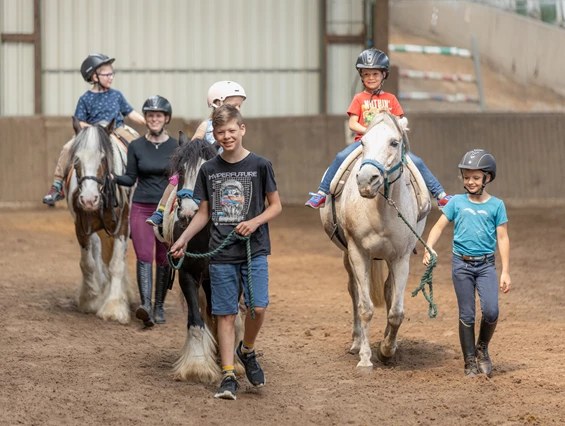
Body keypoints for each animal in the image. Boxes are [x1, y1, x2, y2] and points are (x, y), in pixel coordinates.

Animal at [320, 110, 426, 370]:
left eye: (394, 143)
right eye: (363, 143)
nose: (366, 180)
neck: (382, 210)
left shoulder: (401, 258)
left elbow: (396, 311)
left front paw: (387, 350)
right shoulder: (358, 253)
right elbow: (365, 307)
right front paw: (366, 358)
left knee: (388, 292)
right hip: (348, 255)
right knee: (355, 292)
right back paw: (357, 343)